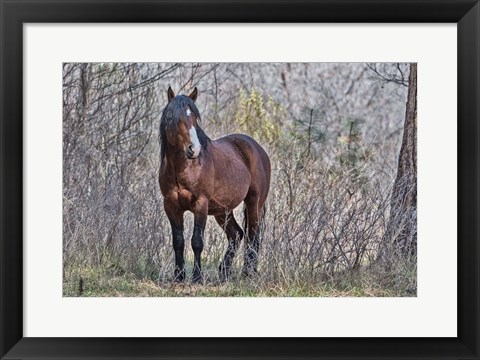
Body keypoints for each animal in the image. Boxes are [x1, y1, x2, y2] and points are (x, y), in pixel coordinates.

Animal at [158, 87, 270, 284]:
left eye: (195, 118)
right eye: (173, 118)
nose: (193, 149)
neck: (183, 168)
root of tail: (258, 149)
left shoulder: (200, 204)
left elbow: (197, 241)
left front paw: (197, 277)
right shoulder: (171, 205)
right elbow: (178, 241)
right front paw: (179, 276)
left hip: (254, 203)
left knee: (253, 236)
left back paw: (248, 273)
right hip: (223, 210)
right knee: (236, 234)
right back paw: (224, 272)